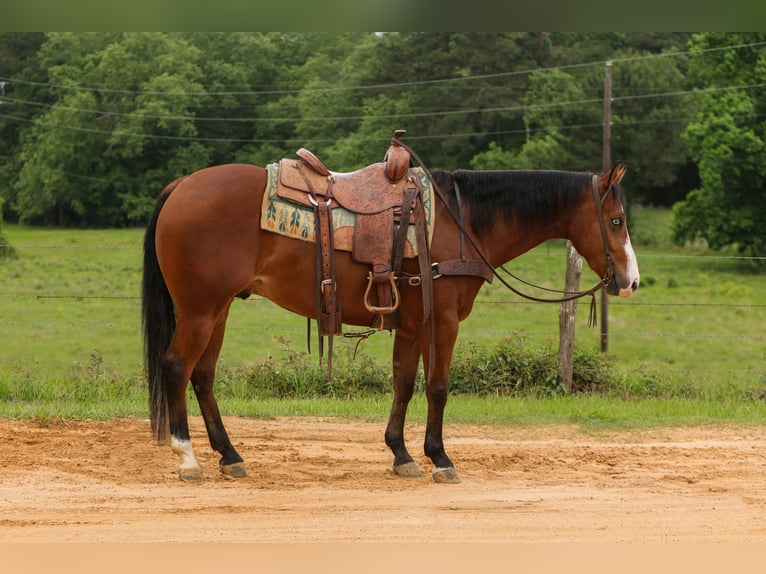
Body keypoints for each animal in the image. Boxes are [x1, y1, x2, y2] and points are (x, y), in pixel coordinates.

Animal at [142, 159, 639, 483]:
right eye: (616, 220)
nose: (631, 280)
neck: (461, 223)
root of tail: (182, 185)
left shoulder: (412, 326)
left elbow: (403, 385)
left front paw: (401, 454)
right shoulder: (442, 322)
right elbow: (437, 387)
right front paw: (440, 458)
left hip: (219, 309)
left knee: (203, 376)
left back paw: (229, 456)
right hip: (201, 310)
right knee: (177, 368)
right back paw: (188, 459)